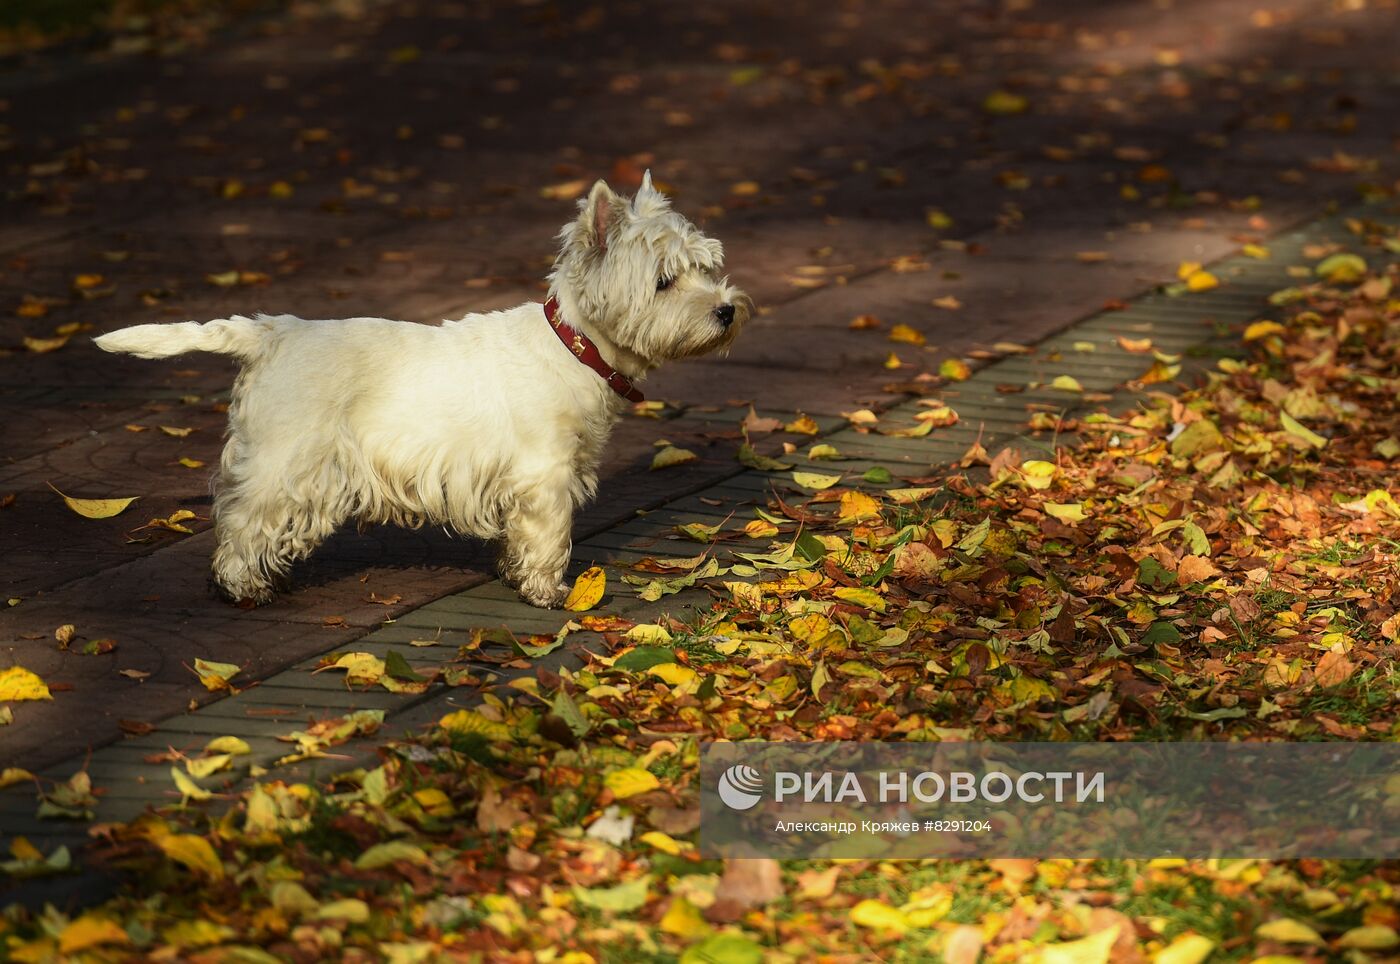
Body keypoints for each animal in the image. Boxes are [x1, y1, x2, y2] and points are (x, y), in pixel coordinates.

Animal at [97, 172, 750, 604]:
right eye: (664, 281)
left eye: (706, 267)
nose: (726, 312)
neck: (576, 347)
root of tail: (272, 332)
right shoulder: (545, 474)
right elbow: (549, 534)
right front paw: (547, 590)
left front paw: (513, 571)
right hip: (288, 460)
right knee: (243, 517)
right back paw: (243, 587)